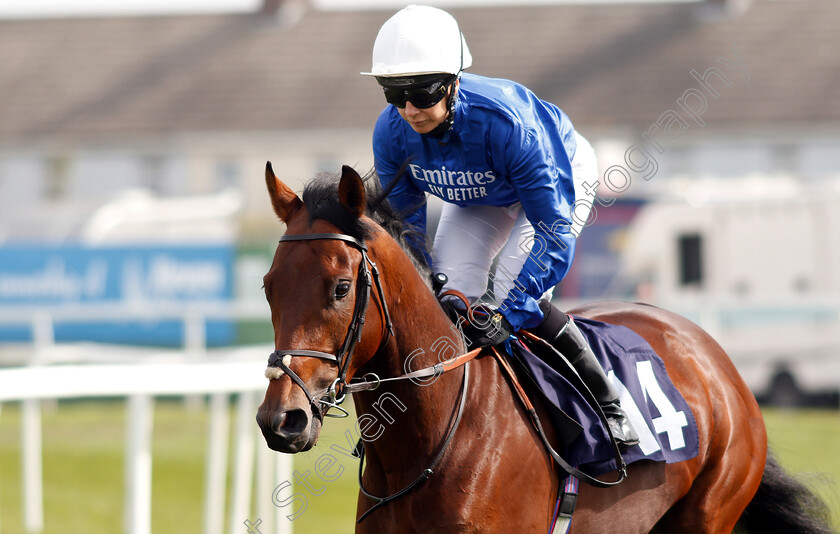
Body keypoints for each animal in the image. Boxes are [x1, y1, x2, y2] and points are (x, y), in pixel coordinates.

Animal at [256, 164, 832, 534]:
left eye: (340, 288)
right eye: (267, 285)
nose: (280, 419)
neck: (431, 440)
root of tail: (711, 353)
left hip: (710, 512)